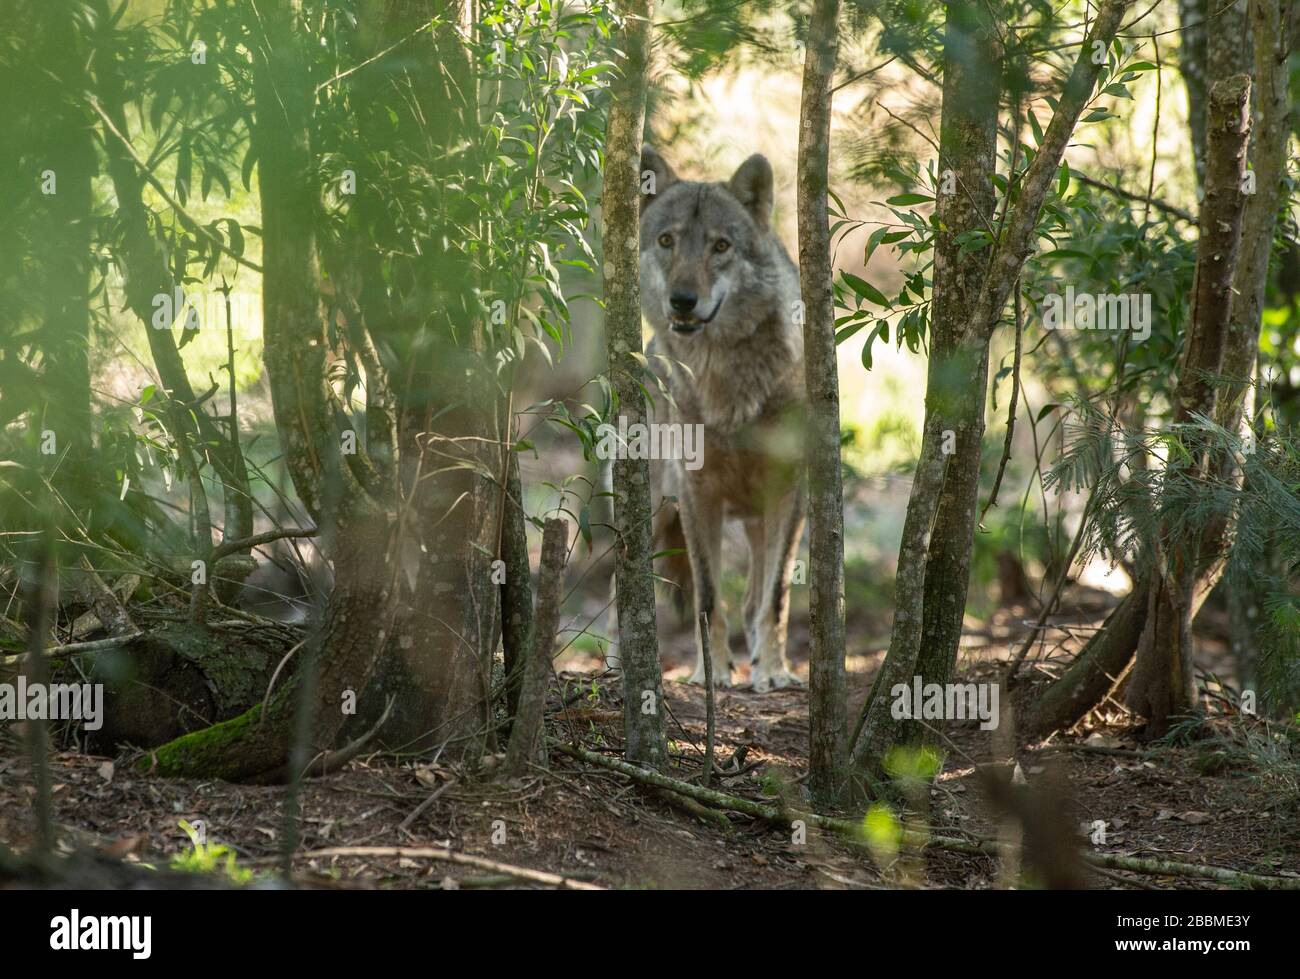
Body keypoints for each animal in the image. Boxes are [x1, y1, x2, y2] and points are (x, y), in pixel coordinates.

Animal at [629, 145, 808, 692]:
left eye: (721, 246)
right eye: (666, 241)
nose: (683, 301)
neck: (726, 384)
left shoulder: (791, 489)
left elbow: (775, 596)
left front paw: (774, 671)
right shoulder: (696, 492)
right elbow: (708, 597)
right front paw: (709, 676)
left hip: (756, 518)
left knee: (754, 596)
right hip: (654, 505)